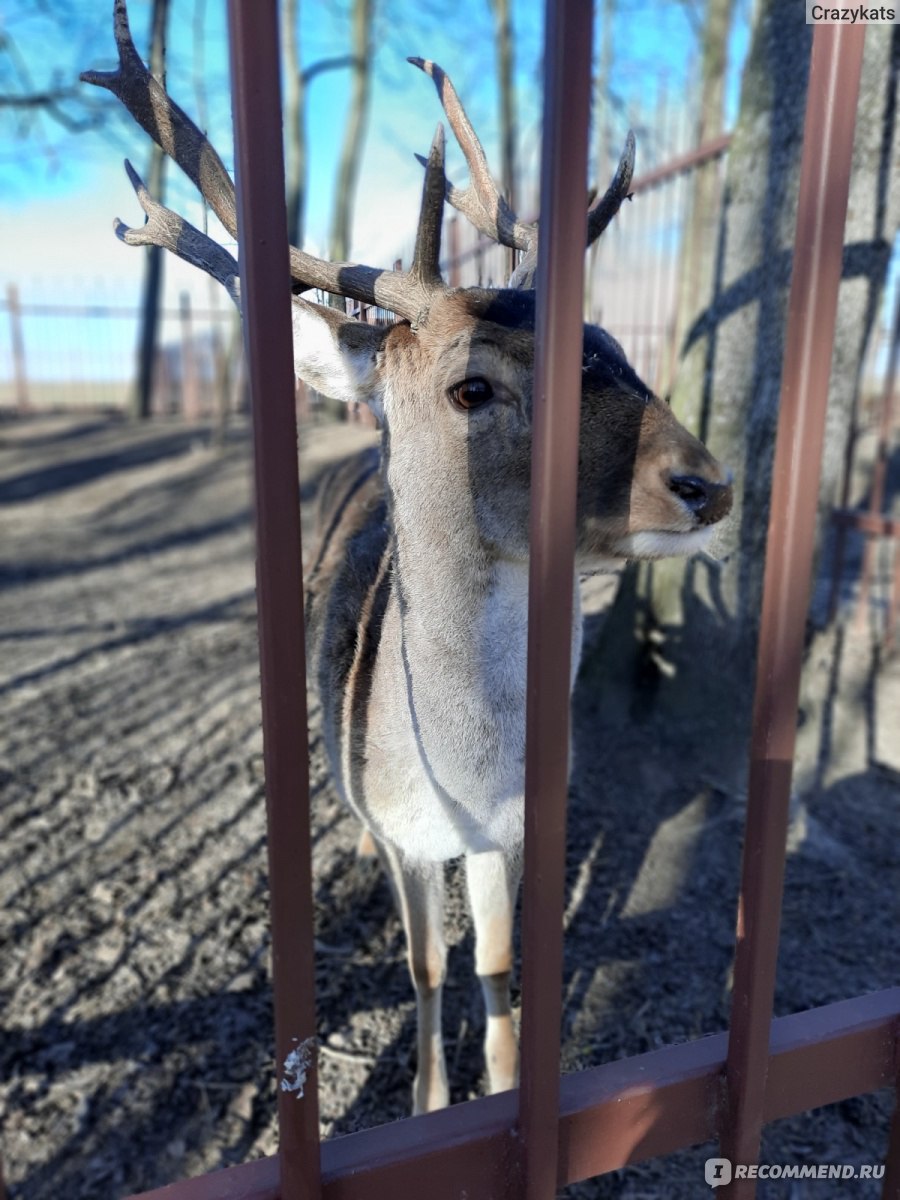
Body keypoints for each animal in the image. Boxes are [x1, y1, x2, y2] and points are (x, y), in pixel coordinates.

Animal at [82, 4, 734, 1118]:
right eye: (472, 387)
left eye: (614, 345)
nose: (704, 483)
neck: (455, 785)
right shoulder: (407, 837)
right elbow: (427, 967)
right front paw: (429, 1102)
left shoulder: (508, 831)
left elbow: (495, 961)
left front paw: (505, 1087)